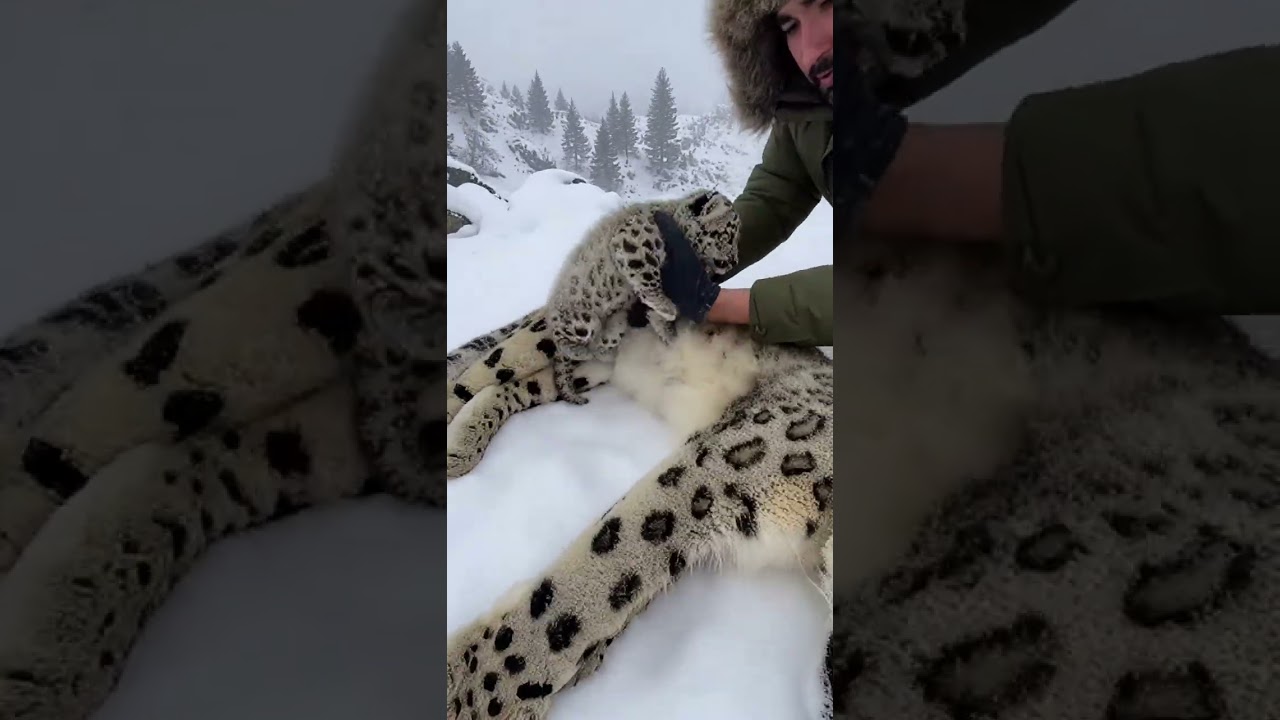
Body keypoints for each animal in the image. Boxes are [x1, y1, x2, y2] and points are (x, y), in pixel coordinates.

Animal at [542, 188, 740, 406]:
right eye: (728, 235)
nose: (735, 260)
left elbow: (659, 317)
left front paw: (671, 336)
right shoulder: (636, 244)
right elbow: (647, 276)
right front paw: (667, 308)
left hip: (618, 323)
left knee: (599, 345)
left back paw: (607, 353)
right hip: (583, 321)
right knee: (561, 343)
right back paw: (582, 351)